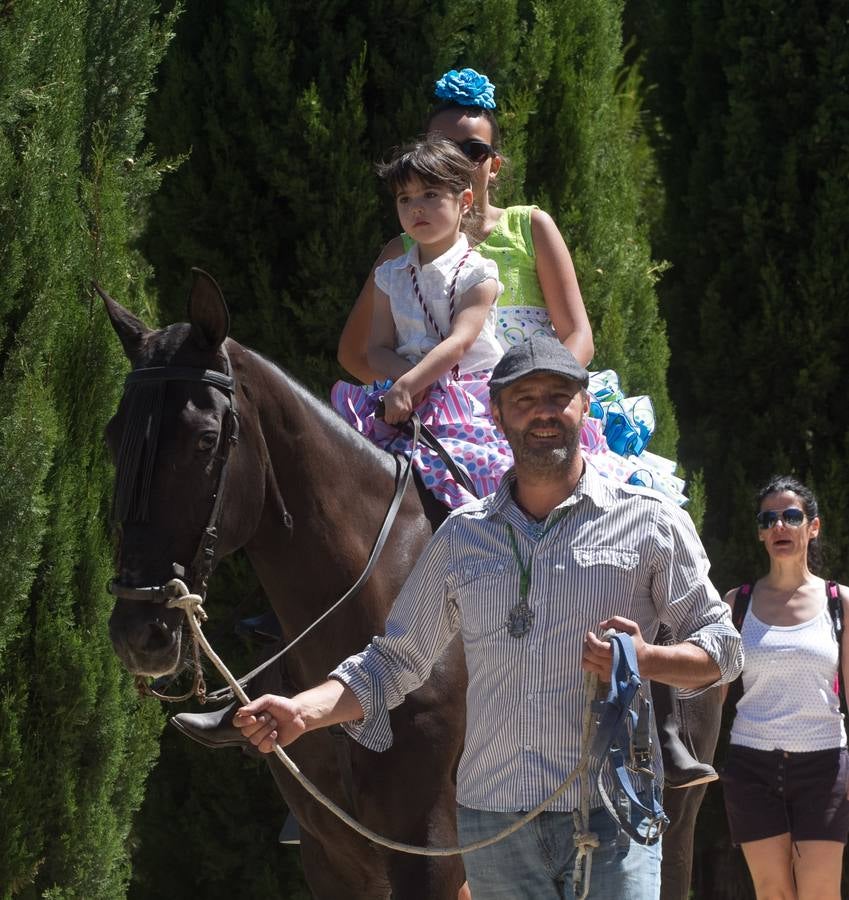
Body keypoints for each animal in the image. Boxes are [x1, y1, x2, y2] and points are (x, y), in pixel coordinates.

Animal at [102, 268, 720, 900]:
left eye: (205, 440)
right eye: (112, 437)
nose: (138, 630)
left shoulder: (429, 846)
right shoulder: (331, 853)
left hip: (671, 812)